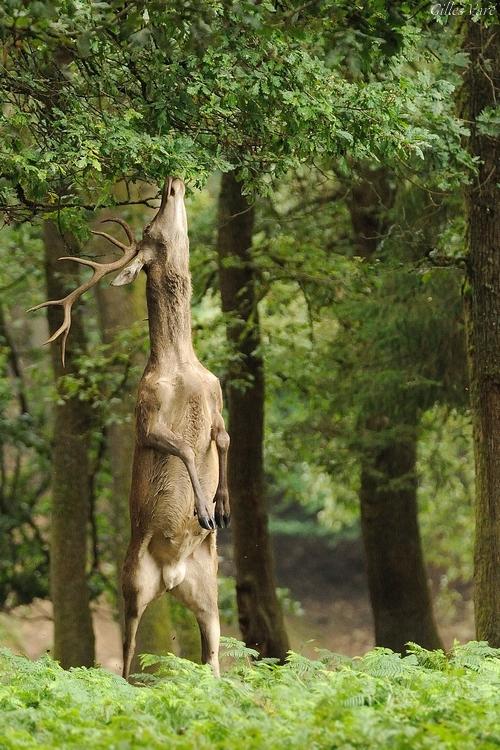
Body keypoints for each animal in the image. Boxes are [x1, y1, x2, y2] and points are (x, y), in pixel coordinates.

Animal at [32, 181, 231, 680]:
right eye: (149, 228)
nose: (173, 182)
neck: (183, 368)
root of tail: (172, 577)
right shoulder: (146, 413)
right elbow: (183, 447)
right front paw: (203, 509)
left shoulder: (217, 400)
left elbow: (222, 440)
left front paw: (222, 508)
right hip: (133, 583)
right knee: (124, 662)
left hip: (210, 594)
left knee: (212, 660)